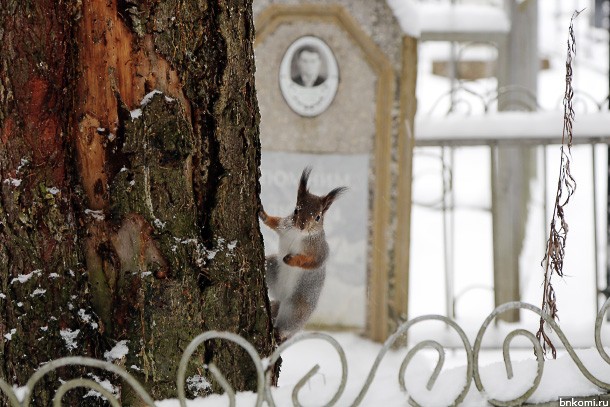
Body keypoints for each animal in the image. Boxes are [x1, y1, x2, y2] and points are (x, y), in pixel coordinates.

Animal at [258, 167, 346, 342]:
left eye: (318, 217)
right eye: (296, 210)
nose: (301, 225)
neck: (299, 234)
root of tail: (281, 297)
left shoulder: (320, 251)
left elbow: (312, 262)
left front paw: (291, 259)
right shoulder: (284, 226)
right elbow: (274, 222)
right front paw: (263, 214)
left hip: (297, 308)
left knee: (288, 326)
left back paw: (279, 333)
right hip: (272, 268)